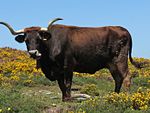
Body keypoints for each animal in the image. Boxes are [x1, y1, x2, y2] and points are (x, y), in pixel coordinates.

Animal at [0, 18, 141, 101]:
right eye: (26, 40)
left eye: (39, 39)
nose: (33, 52)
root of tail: (122, 29)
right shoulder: (57, 71)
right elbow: (61, 85)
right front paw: (64, 99)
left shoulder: (68, 66)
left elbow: (68, 84)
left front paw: (68, 99)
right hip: (111, 64)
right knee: (118, 79)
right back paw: (115, 95)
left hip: (120, 60)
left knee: (126, 77)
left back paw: (125, 97)